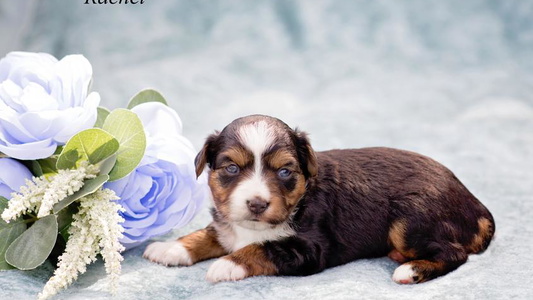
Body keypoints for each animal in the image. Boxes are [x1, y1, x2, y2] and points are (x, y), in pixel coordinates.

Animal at [142, 114, 494, 284]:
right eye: (231, 168)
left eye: (285, 171)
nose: (257, 204)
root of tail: (475, 204)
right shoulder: (228, 223)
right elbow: (209, 233)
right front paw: (171, 248)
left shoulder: (311, 248)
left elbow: (262, 248)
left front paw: (227, 265)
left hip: (410, 219)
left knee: (454, 253)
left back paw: (410, 270)